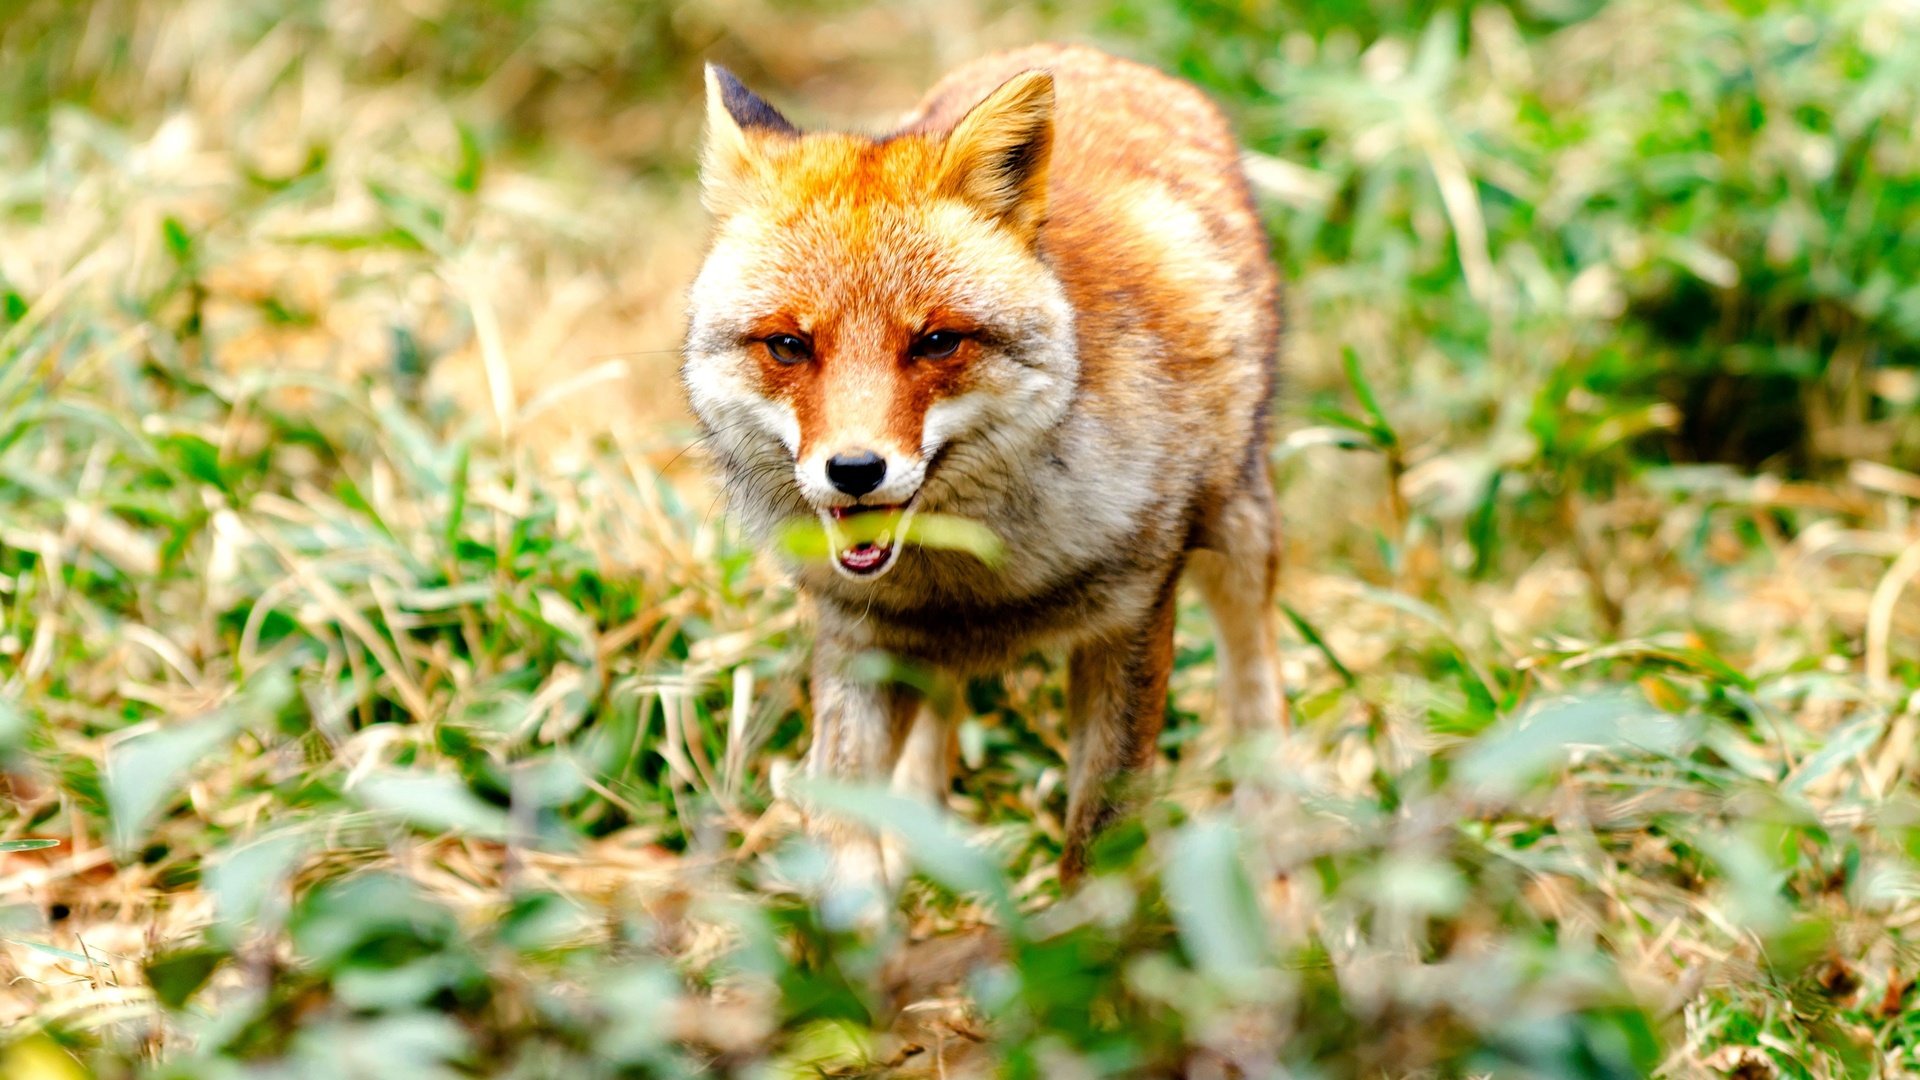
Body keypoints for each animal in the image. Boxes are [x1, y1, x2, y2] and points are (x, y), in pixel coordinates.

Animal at [683, 42, 1282, 899]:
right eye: (789, 346)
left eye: (936, 342)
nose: (855, 470)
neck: (969, 588)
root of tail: (1082, 50)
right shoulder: (858, 636)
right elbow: (840, 827)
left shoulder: (1133, 619)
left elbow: (1096, 842)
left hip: (1240, 532)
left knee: (1256, 685)